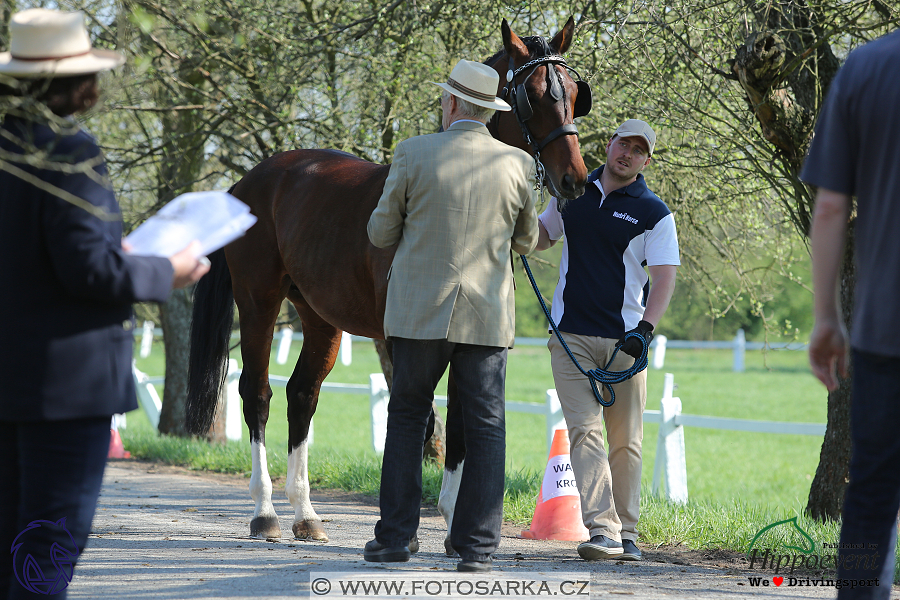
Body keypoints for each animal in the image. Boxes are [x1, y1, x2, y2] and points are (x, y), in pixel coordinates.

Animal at [185, 16, 592, 548]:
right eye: (534, 95)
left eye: (575, 94)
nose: (575, 181)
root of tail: (247, 184)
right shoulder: (404, 339)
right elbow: (421, 417)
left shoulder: (471, 335)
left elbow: (459, 423)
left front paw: (453, 519)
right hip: (258, 303)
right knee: (258, 393)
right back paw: (265, 511)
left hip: (319, 317)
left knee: (302, 395)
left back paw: (306, 513)